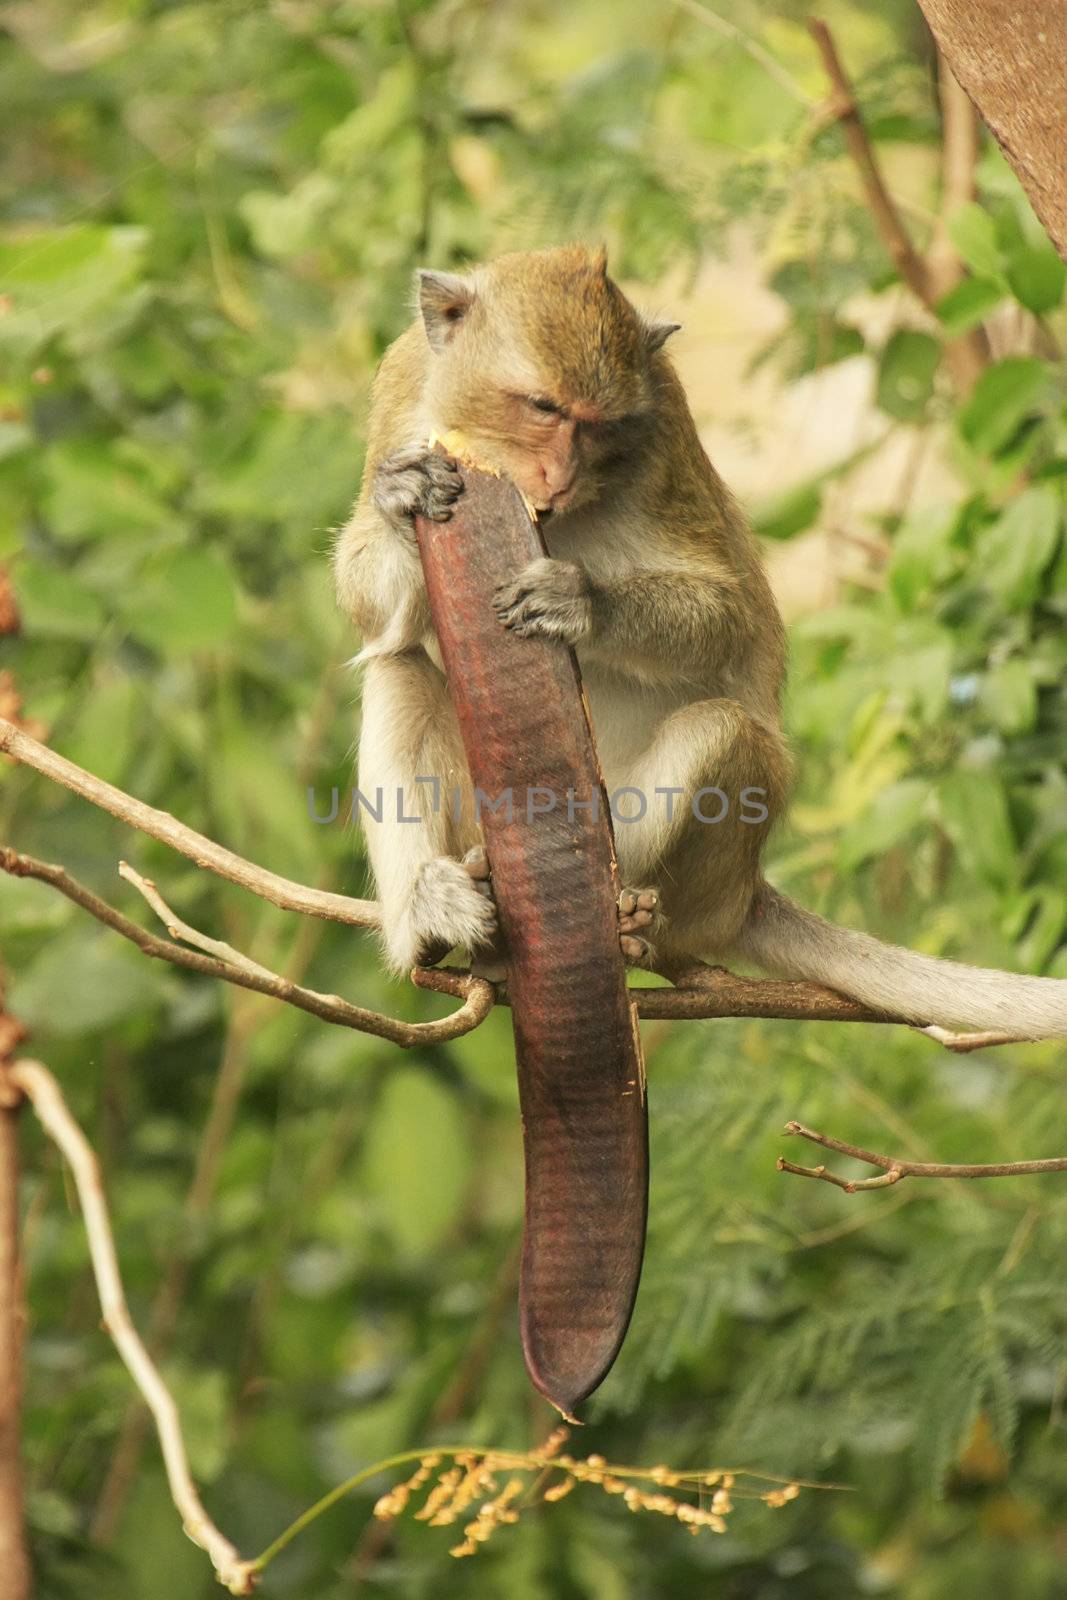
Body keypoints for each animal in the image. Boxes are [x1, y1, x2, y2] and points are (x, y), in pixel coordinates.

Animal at [337, 240, 1067, 1036]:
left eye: (600, 425)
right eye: (543, 407)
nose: (557, 478)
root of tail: (745, 891)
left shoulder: (665, 440)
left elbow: (730, 617)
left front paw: (582, 600)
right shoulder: (400, 390)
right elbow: (371, 611)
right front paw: (401, 495)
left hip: (703, 881)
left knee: (723, 731)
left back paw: (627, 918)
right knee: (399, 669)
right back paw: (436, 916)